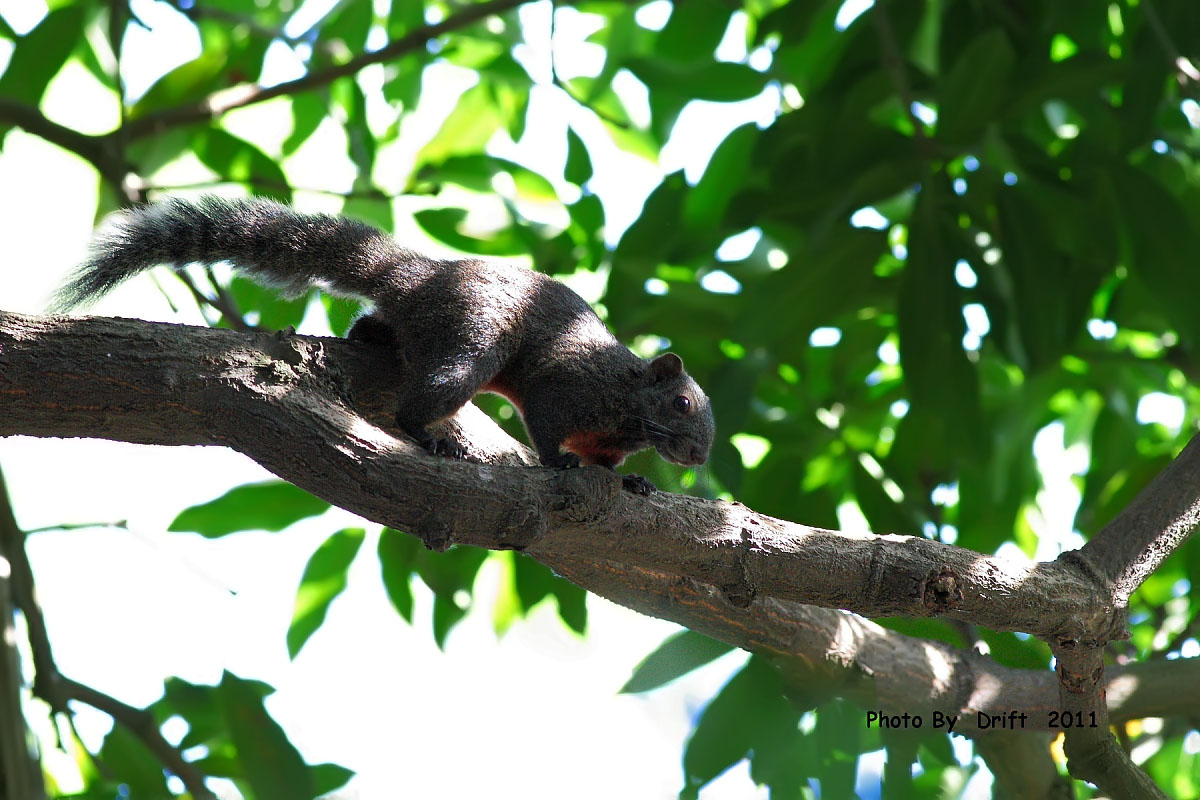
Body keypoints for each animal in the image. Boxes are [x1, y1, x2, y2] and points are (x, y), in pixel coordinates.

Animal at [54, 196, 710, 491]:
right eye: (681, 402)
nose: (701, 457)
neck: (627, 409)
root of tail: (422, 279)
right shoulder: (570, 389)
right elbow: (549, 429)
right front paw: (559, 462)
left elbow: (611, 469)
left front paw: (635, 483)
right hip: (473, 340)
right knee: (428, 392)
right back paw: (427, 433)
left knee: (382, 329)